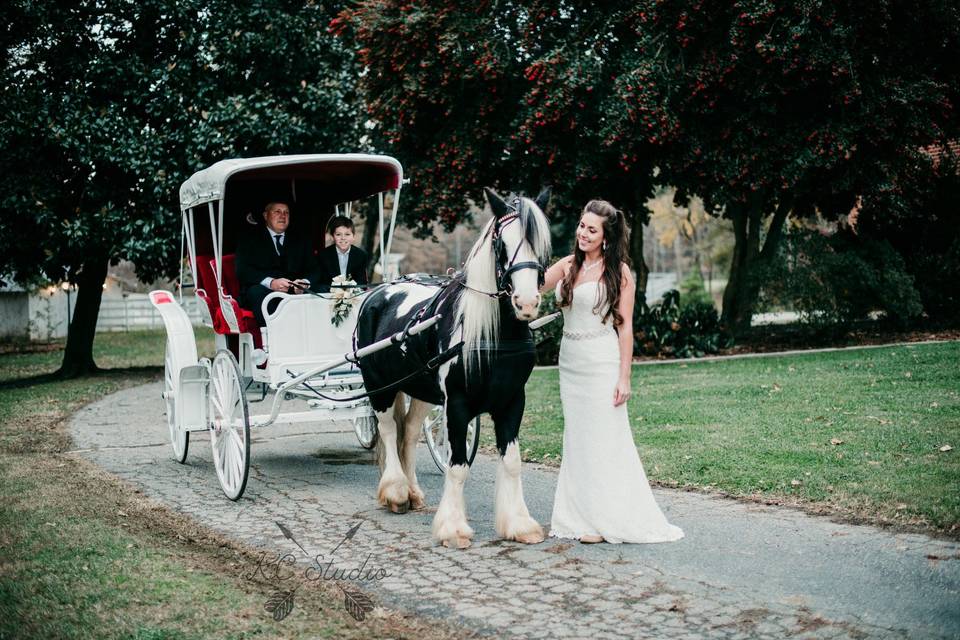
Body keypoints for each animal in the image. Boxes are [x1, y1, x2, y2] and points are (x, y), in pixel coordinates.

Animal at [354, 186, 552, 552]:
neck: (492, 333)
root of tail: (379, 291)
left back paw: (413, 492)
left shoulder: (512, 401)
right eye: (501, 244)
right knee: (388, 430)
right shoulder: (458, 404)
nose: (527, 302)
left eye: (542, 243)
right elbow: (457, 466)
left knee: (409, 432)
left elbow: (512, 461)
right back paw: (396, 491)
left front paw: (519, 524)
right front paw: (453, 529)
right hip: (379, 385)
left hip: (421, 390)